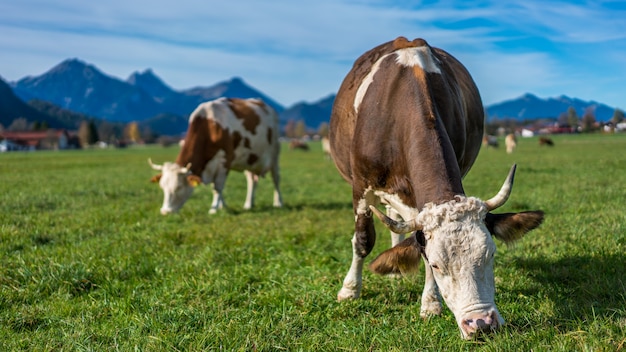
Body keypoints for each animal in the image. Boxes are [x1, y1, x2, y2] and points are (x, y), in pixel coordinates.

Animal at [147, 97, 282, 216]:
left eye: (178, 187)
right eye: (162, 187)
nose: (165, 212)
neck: (210, 125)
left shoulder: (224, 161)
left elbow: (218, 186)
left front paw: (214, 209)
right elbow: (214, 187)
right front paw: (222, 206)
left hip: (274, 154)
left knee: (276, 178)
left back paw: (278, 203)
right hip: (250, 159)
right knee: (251, 180)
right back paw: (249, 204)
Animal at [326, 37, 540, 340]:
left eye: (491, 255)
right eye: (439, 265)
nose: (481, 324)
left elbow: (417, 246)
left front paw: (430, 304)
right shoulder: (361, 188)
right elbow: (363, 240)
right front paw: (349, 289)